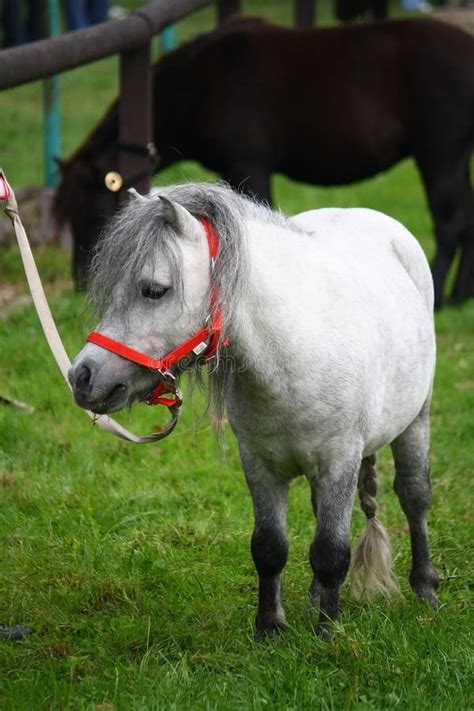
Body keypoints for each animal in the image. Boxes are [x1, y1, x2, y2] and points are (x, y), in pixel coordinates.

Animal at [53, 16, 474, 306]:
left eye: (95, 212)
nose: (80, 282)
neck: (204, 83)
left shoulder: (250, 167)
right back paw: (460, 296)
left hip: (439, 156)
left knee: (450, 223)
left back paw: (442, 296)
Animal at [68, 185, 438, 640]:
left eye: (154, 290)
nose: (82, 376)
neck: (295, 351)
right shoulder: (260, 464)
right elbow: (269, 547)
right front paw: (269, 629)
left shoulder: (339, 461)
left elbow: (332, 551)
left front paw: (327, 634)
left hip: (416, 420)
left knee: (414, 497)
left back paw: (425, 587)